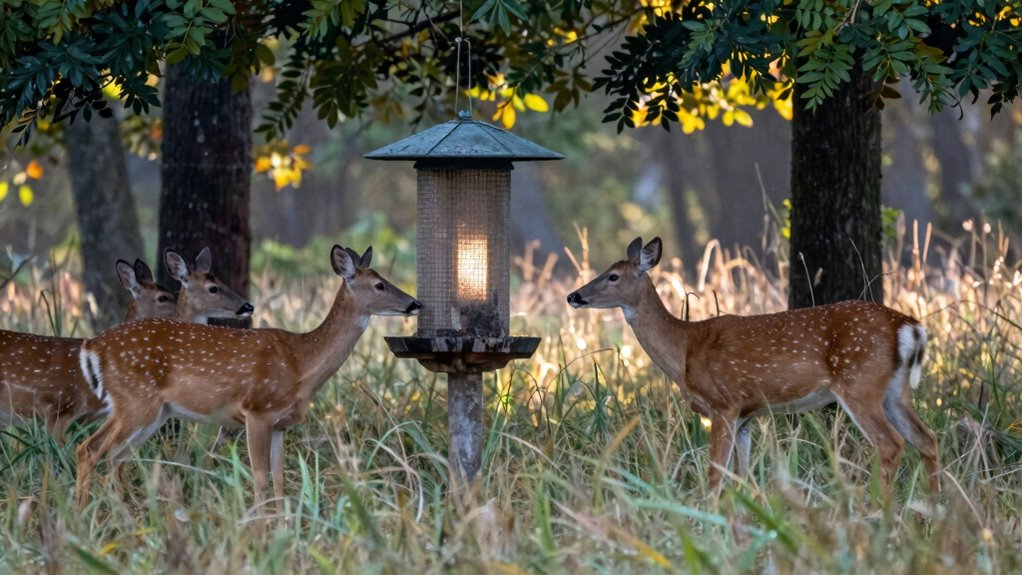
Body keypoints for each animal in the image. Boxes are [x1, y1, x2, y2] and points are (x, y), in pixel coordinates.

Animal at [74, 245, 420, 511]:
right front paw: (261, 531)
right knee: (91, 450)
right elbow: (261, 478)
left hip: (150, 412)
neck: (301, 363)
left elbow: (280, 479)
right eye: (379, 285)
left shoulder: (281, 423)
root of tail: (93, 345)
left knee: (112, 456)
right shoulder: (256, 411)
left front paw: (283, 528)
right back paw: (84, 519)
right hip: (136, 403)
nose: (415, 303)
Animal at [567, 237, 939, 495]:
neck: (685, 348)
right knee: (926, 438)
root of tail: (910, 327)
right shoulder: (746, 414)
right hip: (895, 390)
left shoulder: (723, 403)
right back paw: (931, 510)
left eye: (613, 276)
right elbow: (740, 476)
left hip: (860, 383)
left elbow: (716, 474)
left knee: (891, 443)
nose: (574, 295)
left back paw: (878, 510)